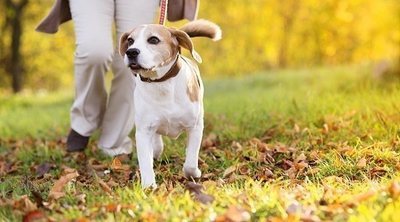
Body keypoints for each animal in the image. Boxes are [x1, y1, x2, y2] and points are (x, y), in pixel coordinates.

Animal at [119, 20, 222, 188]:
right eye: (130, 40)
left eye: (153, 40)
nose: (131, 52)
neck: (162, 84)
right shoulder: (143, 132)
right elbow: (145, 162)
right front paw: (149, 187)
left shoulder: (195, 127)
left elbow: (190, 163)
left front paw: (194, 174)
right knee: (156, 145)